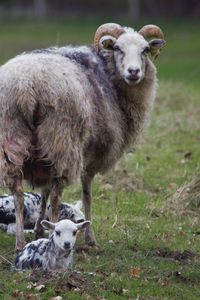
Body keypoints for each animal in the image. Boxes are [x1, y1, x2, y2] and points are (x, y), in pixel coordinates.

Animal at [0, 22, 166, 250]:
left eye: (145, 50)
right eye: (118, 49)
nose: (134, 72)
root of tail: (26, 86)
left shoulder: (42, 159)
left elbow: (43, 192)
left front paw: (38, 229)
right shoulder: (93, 153)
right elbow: (86, 193)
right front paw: (90, 238)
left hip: (12, 135)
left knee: (17, 193)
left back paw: (19, 241)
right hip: (61, 140)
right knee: (56, 196)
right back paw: (52, 234)